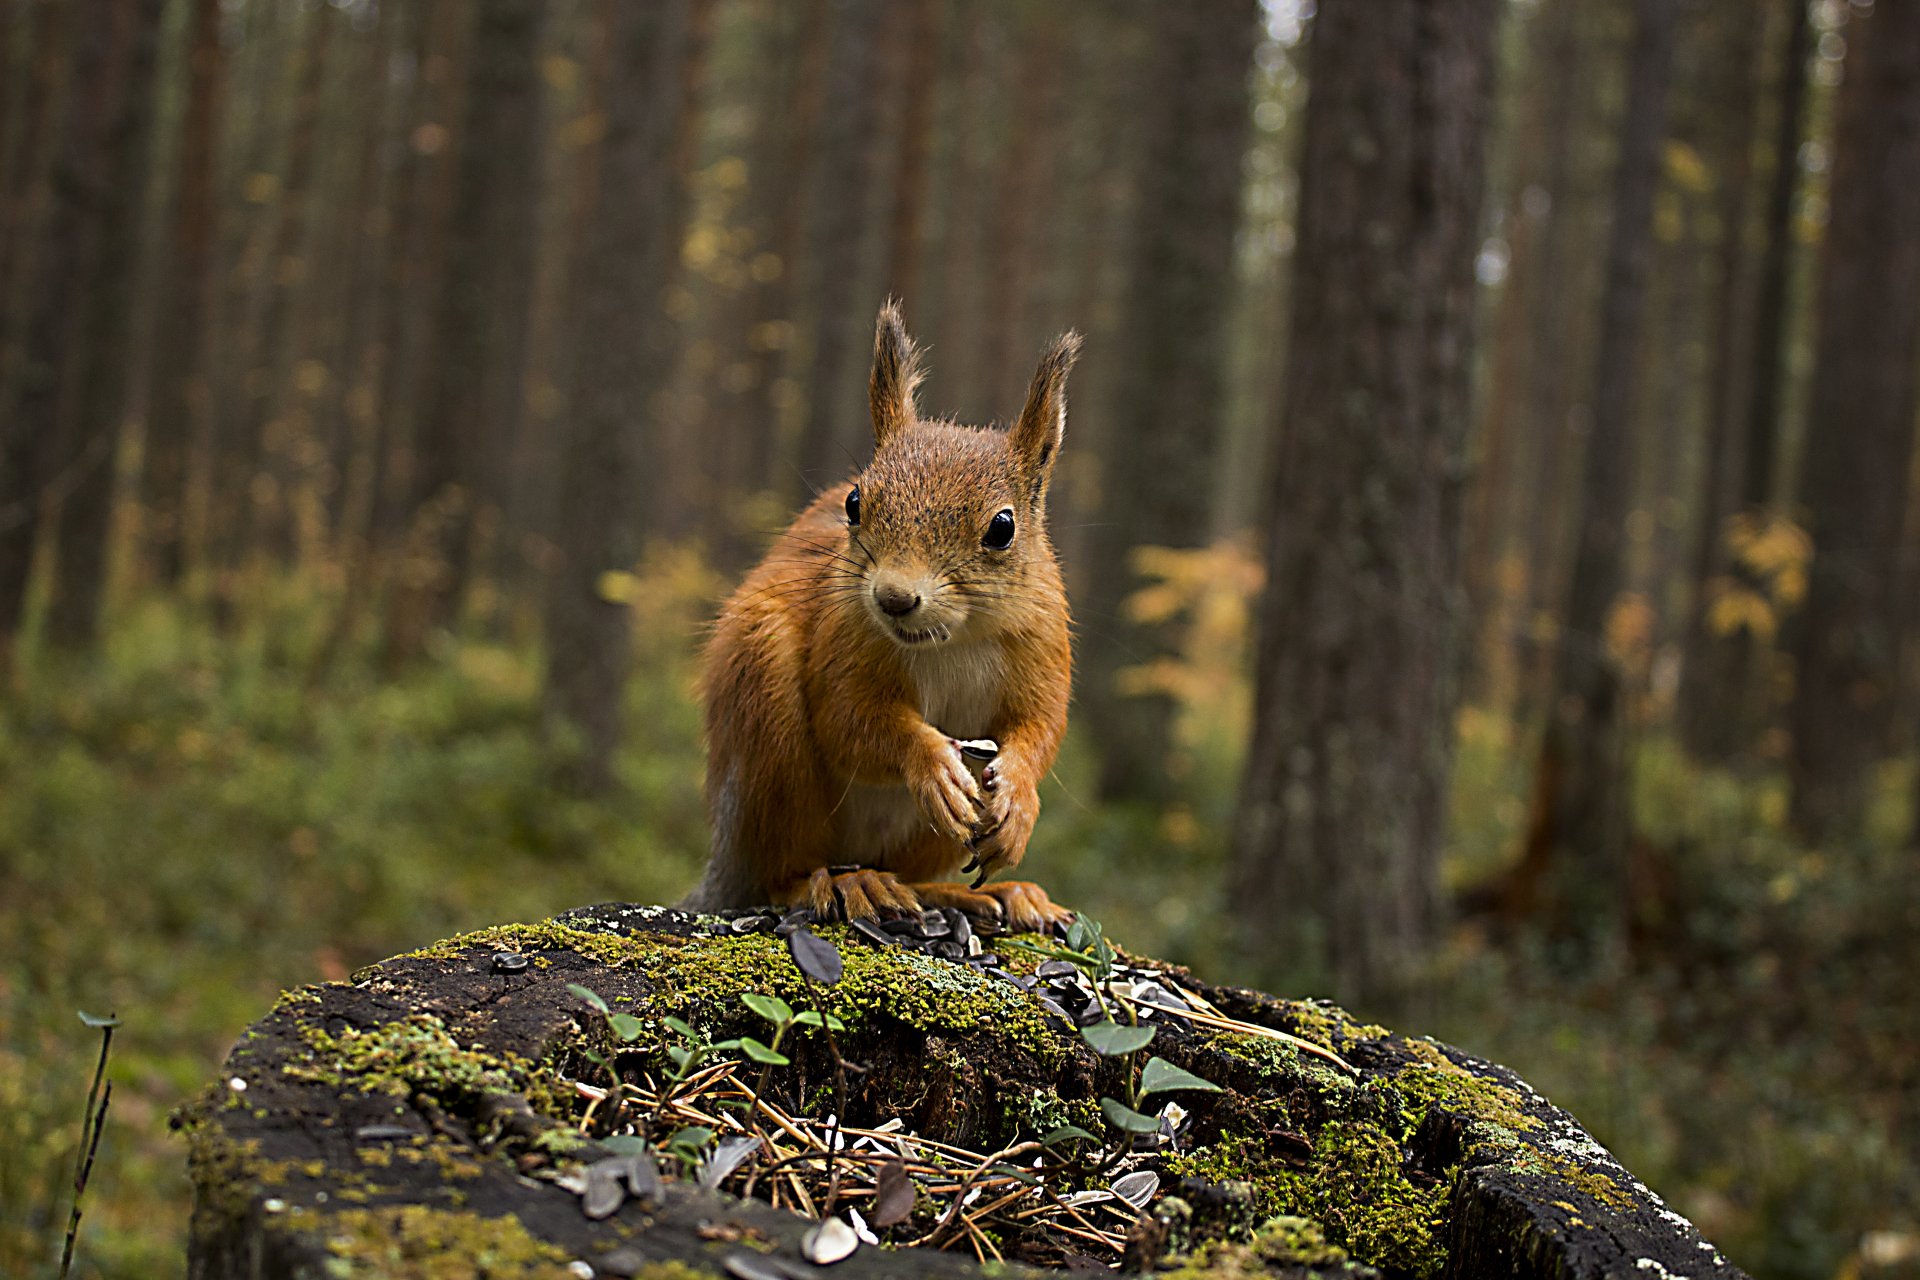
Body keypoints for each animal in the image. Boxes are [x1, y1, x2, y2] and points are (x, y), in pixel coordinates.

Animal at [683, 302, 1079, 933]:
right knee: (780, 874)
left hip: (926, 839)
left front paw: (1018, 799)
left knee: (913, 874)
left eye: (1003, 527)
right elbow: (849, 723)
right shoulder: (843, 641)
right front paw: (931, 762)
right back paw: (845, 883)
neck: (950, 641)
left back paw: (989, 894)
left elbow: (1039, 730)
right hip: (767, 727)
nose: (894, 598)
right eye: (854, 502)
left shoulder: (1042, 645)